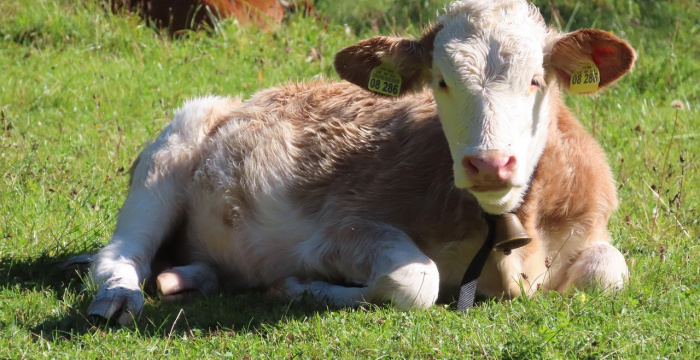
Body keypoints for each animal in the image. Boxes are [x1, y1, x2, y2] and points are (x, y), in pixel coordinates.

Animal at [87, 0, 636, 324]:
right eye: (441, 81)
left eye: (536, 80)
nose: (490, 164)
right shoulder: (342, 228)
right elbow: (416, 281)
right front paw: (297, 286)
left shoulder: (590, 227)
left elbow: (610, 270)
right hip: (171, 147)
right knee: (122, 252)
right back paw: (119, 298)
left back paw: (186, 279)